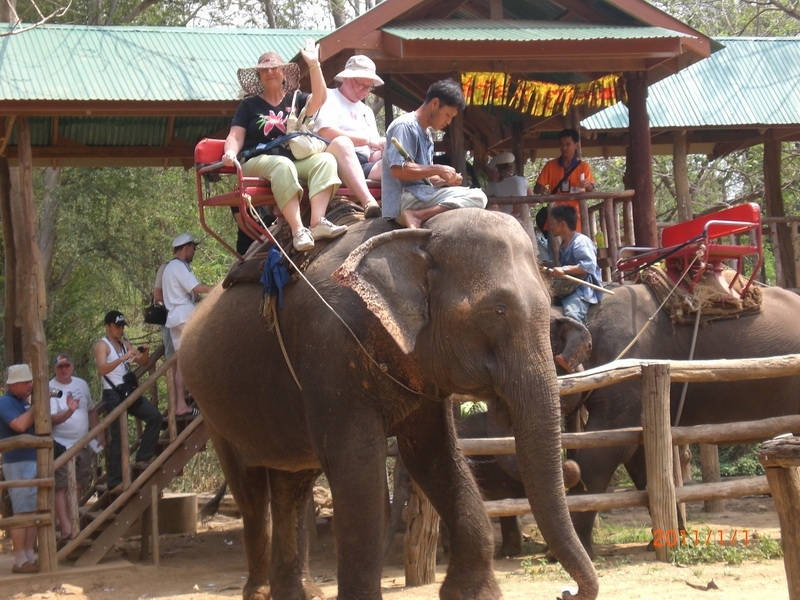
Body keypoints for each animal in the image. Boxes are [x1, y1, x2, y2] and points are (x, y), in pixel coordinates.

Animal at [180, 207, 592, 600]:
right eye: (498, 311)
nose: (567, 592)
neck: (415, 237)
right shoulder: (330, 348)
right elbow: (359, 466)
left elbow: (434, 455)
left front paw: (474, 595)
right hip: (213, 409)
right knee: (251, 491)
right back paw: (261, 592)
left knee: (291, 484)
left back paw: (302, 593)